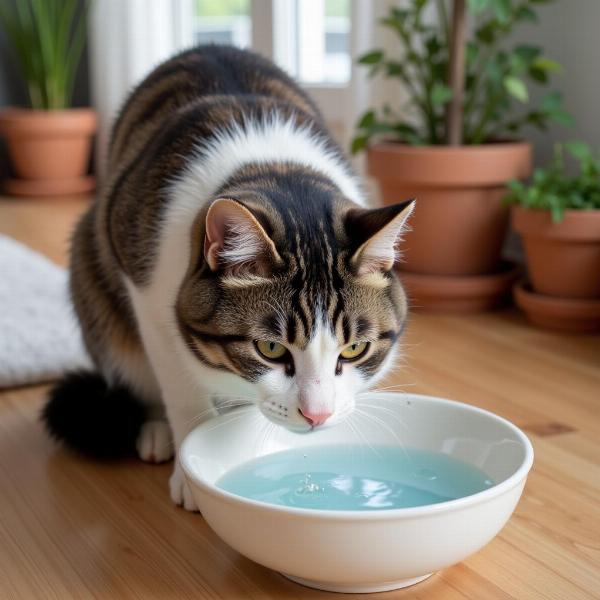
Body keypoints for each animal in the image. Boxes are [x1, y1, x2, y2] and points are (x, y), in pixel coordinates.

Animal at [42, 44, 412, 510]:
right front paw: (191, 472)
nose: (317, 415)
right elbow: (182, 390)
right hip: (91, 263)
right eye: (271, 348)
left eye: (356, 349)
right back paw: (156, 430)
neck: (274, 166)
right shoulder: (145, 289)